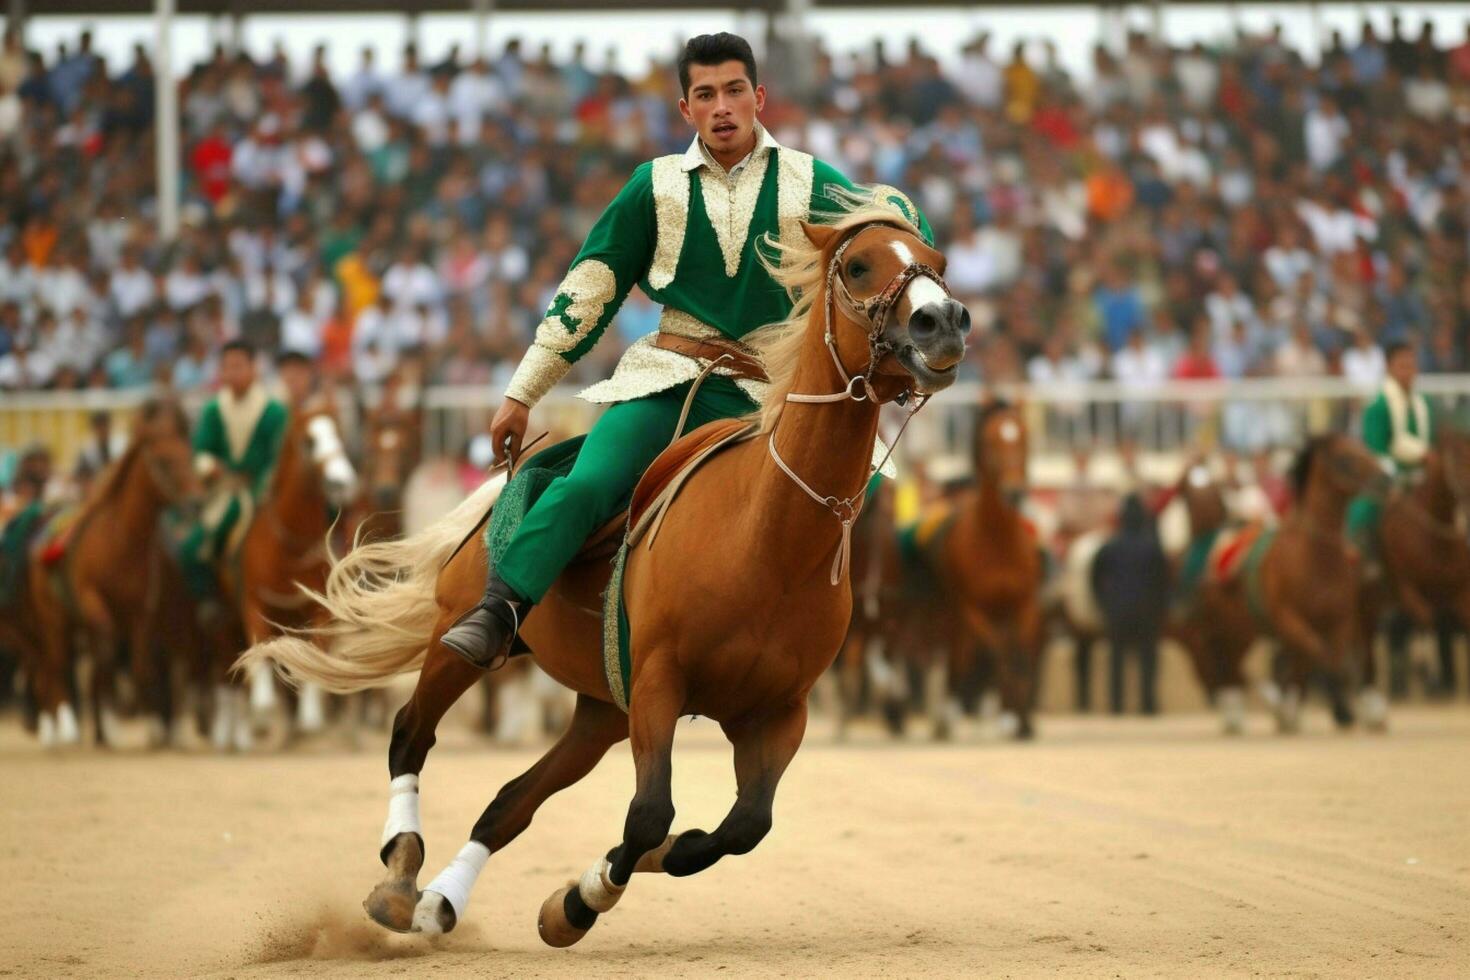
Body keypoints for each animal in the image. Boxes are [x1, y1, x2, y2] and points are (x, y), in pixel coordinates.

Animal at [28, 402, 204, 746]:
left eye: (189, 455)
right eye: (163, 461)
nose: (195, 503)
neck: (121, 541)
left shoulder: (142, 613)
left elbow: (140, 666)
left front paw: (147, 719)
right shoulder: (91, 600)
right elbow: (108, 652)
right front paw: (122, 712)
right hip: (55, 621)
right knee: (55, 668)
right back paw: (62, 730)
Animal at [214, 399, 358, 752]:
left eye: (339, 431)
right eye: (309, 440)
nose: (342, 482)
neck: (290, 545)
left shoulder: (318, 611)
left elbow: (312, 660)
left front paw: (310, 718)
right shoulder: (253, 605)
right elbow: (259, 661)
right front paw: (261, 719)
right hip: (226, 619)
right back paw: (235, 733)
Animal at [238, 211, 964, 946]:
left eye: (936, 262)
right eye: (859, 266)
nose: (944, 321)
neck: (768, 538)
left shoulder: (779, 711)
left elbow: (735, 829)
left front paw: (584, 894)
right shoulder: (660, 683)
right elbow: (649, 815)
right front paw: (581, 899)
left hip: (600, 712)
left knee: (511, 802)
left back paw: (441, 899)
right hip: (463, 646)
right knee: (411, 731)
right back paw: (400, 874)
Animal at [1170, 431, 1387, 731]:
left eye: (1365, 448)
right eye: (1345, 458)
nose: (1385, 479)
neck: (1315, 556)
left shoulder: (1340, 620)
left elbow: (1326, 659)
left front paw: (1292, 711)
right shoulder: (1287, 618)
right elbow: (1313, 654)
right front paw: (1291, 709)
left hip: (1242, 630)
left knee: (1232, 667)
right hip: (1222, 628)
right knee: (1225, 668)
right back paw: (1239, 712)